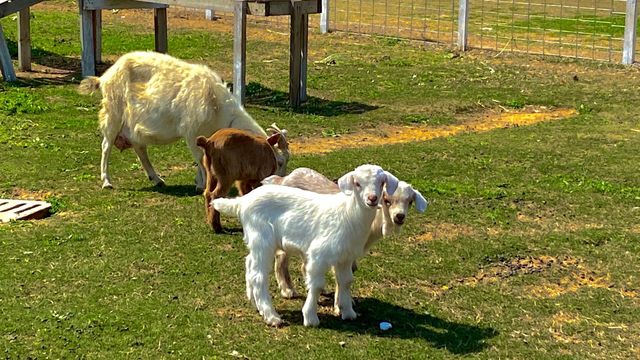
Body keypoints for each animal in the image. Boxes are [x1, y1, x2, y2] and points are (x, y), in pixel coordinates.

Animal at [76, 52, 288, 191]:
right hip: (113, 114)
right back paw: (107, 181)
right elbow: (201, 159)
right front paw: (202, 185)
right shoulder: (192, 132)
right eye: (278, 161)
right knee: (106, 146)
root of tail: (104, 78)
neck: (219, 108)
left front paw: (198, 182)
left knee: (139, 148)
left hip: (132, 125)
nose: (280, 183)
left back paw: (156, 179)